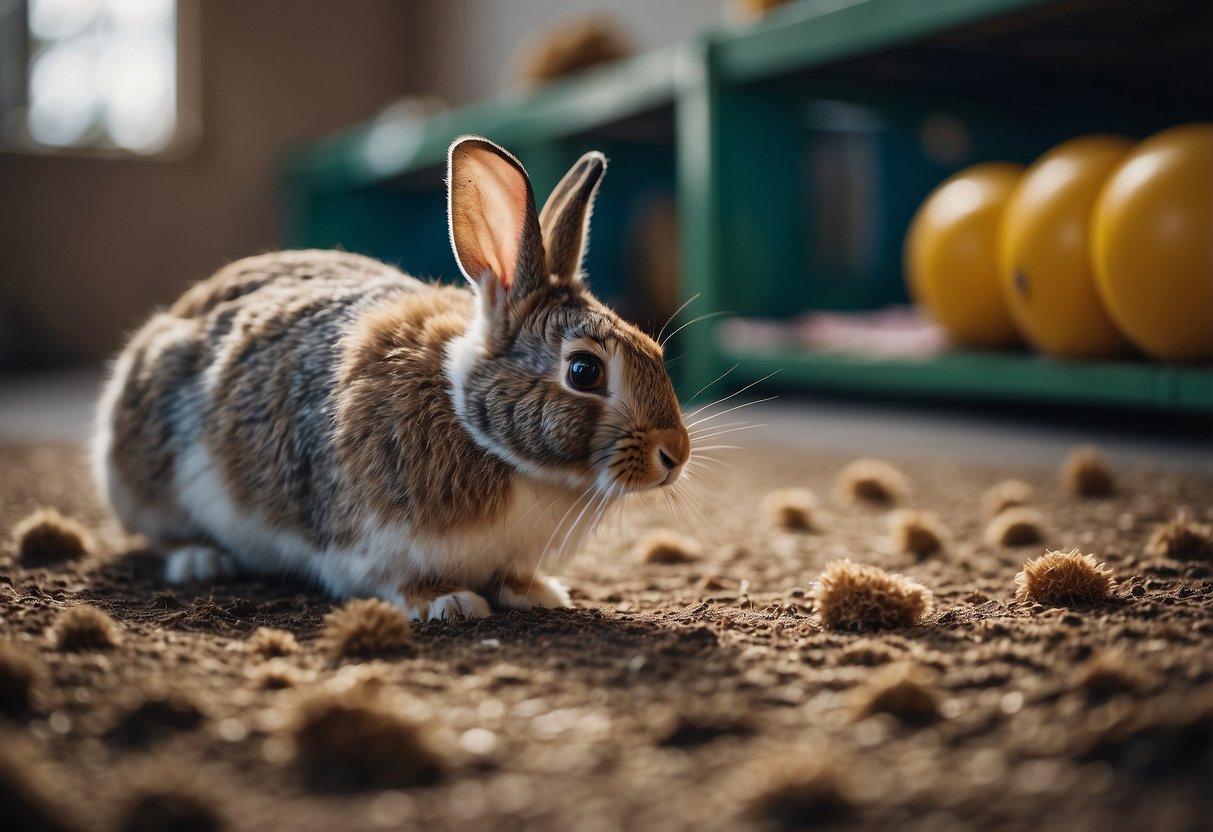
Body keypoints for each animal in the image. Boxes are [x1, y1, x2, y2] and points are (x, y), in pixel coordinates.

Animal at [94, 135, 693, 618]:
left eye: (653, 349)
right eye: (584, 370)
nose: (675, 454)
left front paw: (538, 592)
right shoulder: (369, 548)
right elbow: (397, 582)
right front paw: (450, 603)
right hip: (153, 475)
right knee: (161, 534)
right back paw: (202, 560)